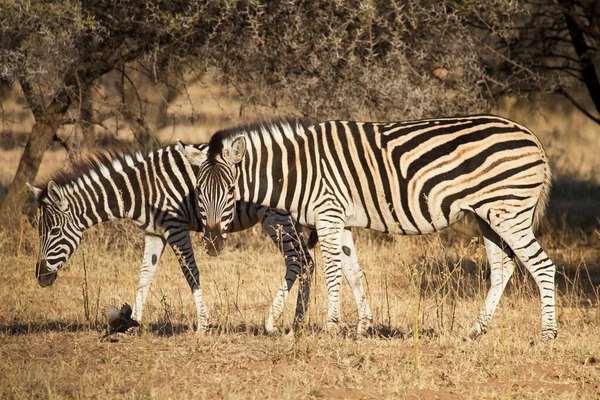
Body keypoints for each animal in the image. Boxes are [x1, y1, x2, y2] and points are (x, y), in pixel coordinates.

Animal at [27, 142, 318, 332]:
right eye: (39, 232)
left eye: (54, 232)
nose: (40, 277)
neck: (142, 189)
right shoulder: (154, 232)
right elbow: (145, 274)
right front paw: (132, 322)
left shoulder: (175, 226)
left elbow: (190, 272)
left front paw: (203, 324)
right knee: (307, 262)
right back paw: (297, 323)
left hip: (275, 218)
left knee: (297, 261)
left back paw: (278, 321)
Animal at [183, 115, 556, 340]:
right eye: (199, 191)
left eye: (230, 190)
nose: (213, 243)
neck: (297, 170)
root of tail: (532, 136)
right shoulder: (341, 220)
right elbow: (354, 272)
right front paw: (363, 326)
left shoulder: (328, 214)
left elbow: (333, 272)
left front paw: (330, 327)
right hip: (488, 215)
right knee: (503, 268)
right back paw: (475, 330)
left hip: (509, 212)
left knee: (542, 266)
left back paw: (548, 334)